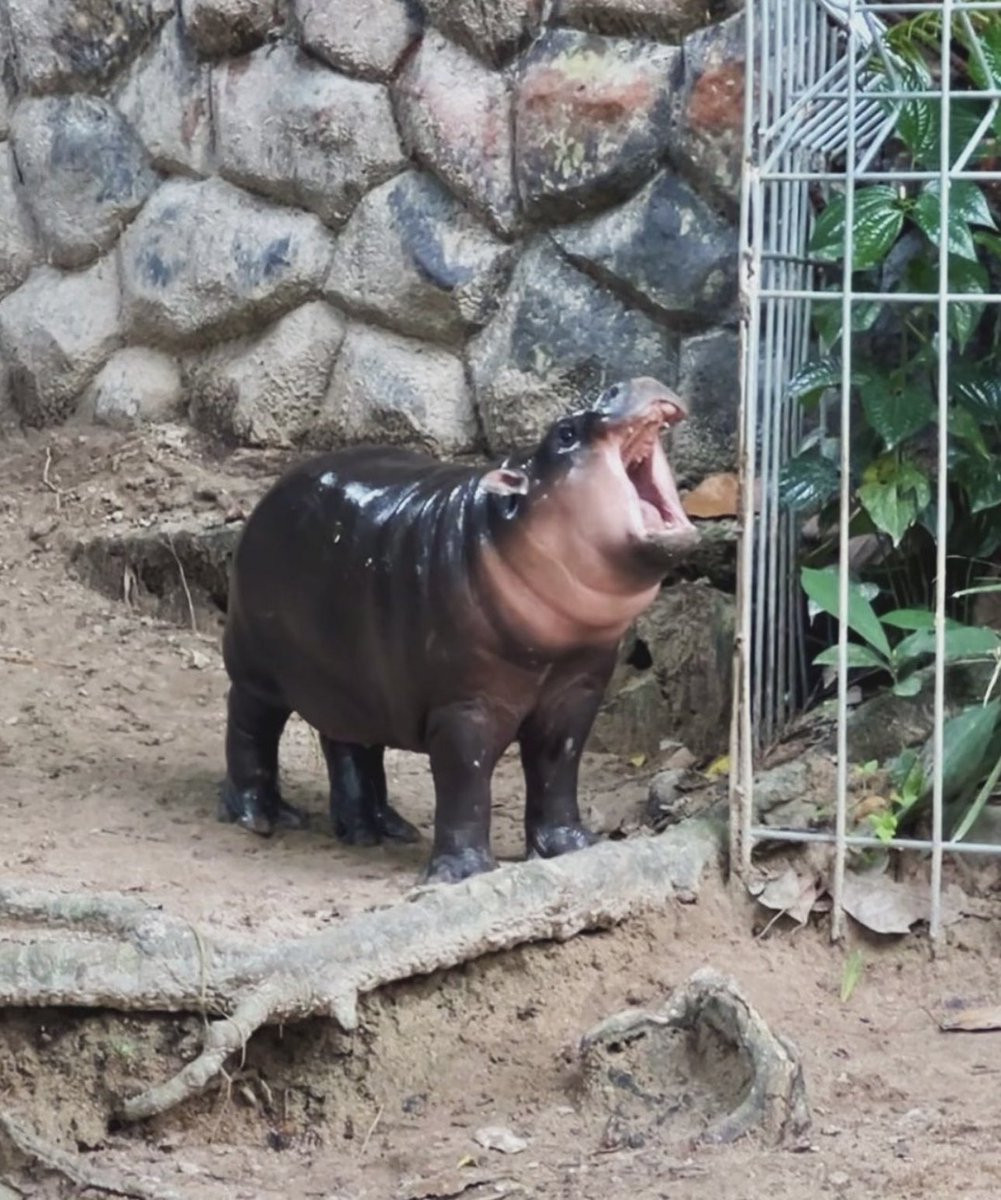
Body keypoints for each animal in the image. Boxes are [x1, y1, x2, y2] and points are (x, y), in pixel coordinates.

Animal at [220, 379, 696, 888]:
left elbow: (558, 768)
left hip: (350, 680)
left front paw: (573, 847)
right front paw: (465, 872)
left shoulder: (577, 691)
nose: (626, 383)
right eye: (565, 432)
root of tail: (273, 490)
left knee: (349, 744)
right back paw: (262, 816)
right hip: (256, 666)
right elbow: (465, 782)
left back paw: (378, 830)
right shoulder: (466, 705)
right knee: (250, 725)